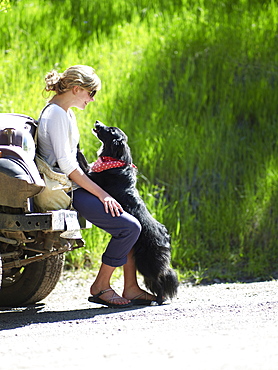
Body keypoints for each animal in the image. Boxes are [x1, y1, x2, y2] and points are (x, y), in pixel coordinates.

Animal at [78, 121, 178, 304]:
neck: (115, 160)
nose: (97, 122)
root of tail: (165, 237)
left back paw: (158, 300)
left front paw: (77, 148)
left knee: (160, 279)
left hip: (147, 262)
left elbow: (83, 162)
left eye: (110, 130)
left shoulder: (92, 177)